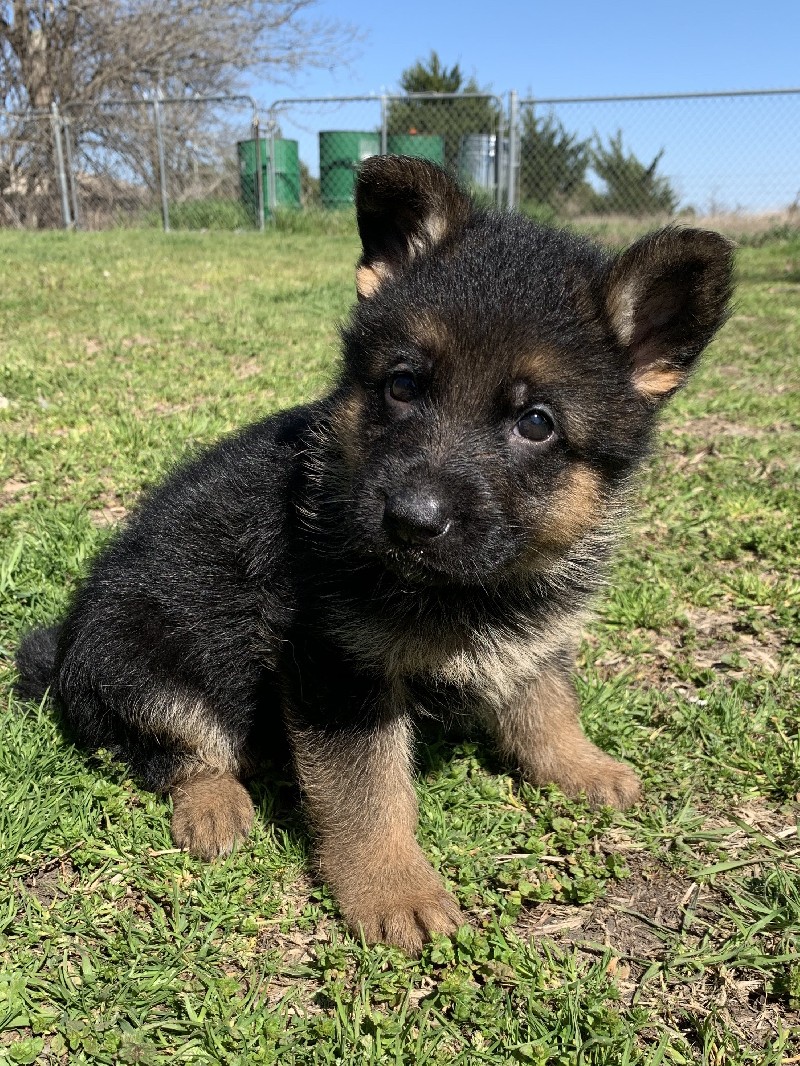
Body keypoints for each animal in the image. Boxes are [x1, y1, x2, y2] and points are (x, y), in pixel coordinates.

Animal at [15, 155, 738, 950]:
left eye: (536, 423)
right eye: (403, 385)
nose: (410, 521)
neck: (464, 586)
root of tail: (63, 651)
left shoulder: (531, 635)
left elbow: (547, 704)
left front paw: (581, 765)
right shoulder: (339, 669)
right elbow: (367, 791)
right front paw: (396, 888)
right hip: (139, 657)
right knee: (172, 747)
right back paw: (215, 805)